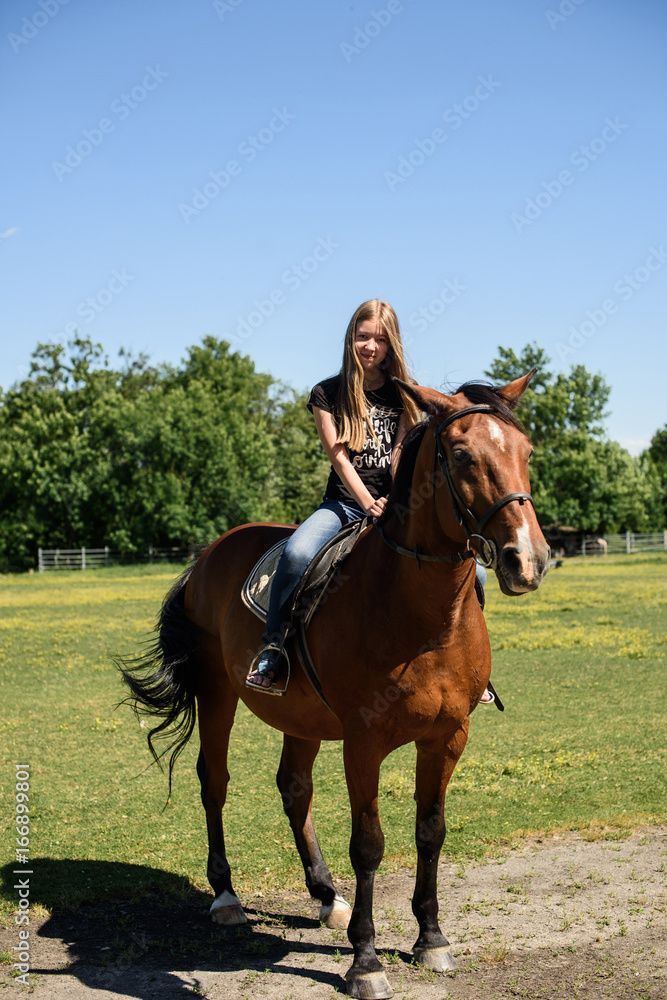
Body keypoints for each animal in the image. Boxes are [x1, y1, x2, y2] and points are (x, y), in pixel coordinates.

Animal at [120, 372, 550, 1000]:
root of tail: (210, 553)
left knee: (293, 787)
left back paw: (326, 895)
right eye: (462, 455)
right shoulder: (363, 741)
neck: (422, 614)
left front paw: (431, 939)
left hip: (300, 717)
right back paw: (226, 895)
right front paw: (366, 962)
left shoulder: (448, 736)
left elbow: (431, 831)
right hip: (218, 693)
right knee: (214, 781)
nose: (528, 559)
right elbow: (369, 845)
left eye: (526, 452)